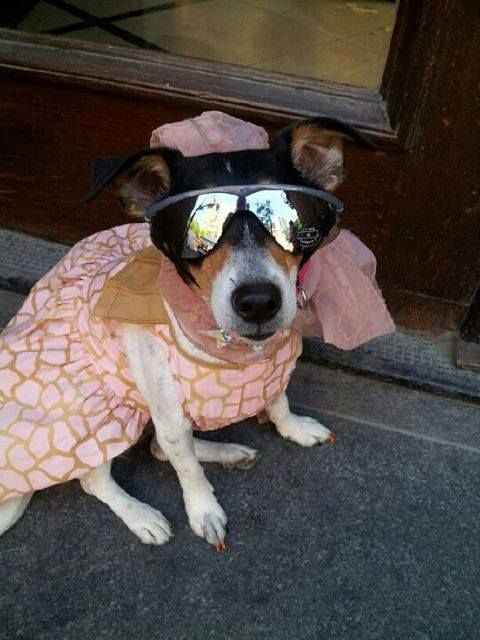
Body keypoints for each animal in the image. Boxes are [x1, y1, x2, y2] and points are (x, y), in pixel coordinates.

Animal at [0, 115, 374, 544]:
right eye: (192, 229)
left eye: (293, 215)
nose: (258, 301)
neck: (232, 345)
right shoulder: (170, 417)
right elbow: (188, 469)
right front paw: (204, 511)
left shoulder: (270, 371)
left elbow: (278, 402)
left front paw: (294, 428)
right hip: (98, 416)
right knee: (100, 478)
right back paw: (142, 515)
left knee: (160, 450)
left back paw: (229, 453)